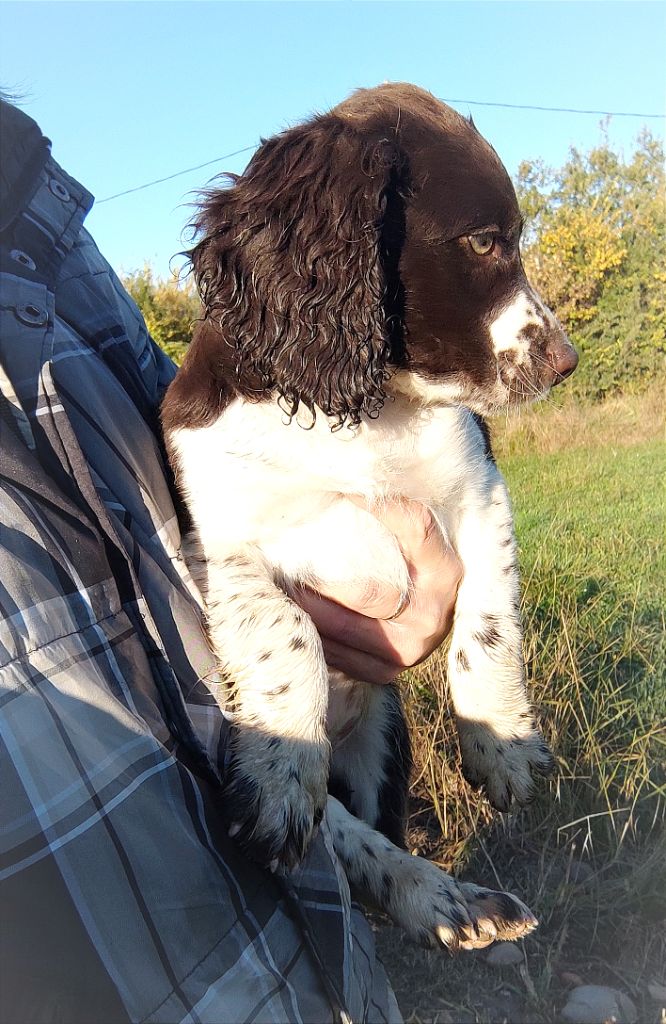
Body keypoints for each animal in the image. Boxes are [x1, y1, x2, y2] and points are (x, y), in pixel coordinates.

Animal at [160, 81, 573, 950]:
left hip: (383, 736)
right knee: (345, 836)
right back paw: (436, 894)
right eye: (483, 242)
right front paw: (279, 776)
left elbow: (489, 622)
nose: (565, 361)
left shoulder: (479, 490)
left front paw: (504, 743)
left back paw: (456, 904)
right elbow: (288, 633)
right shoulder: (218, 541)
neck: (358, 409)